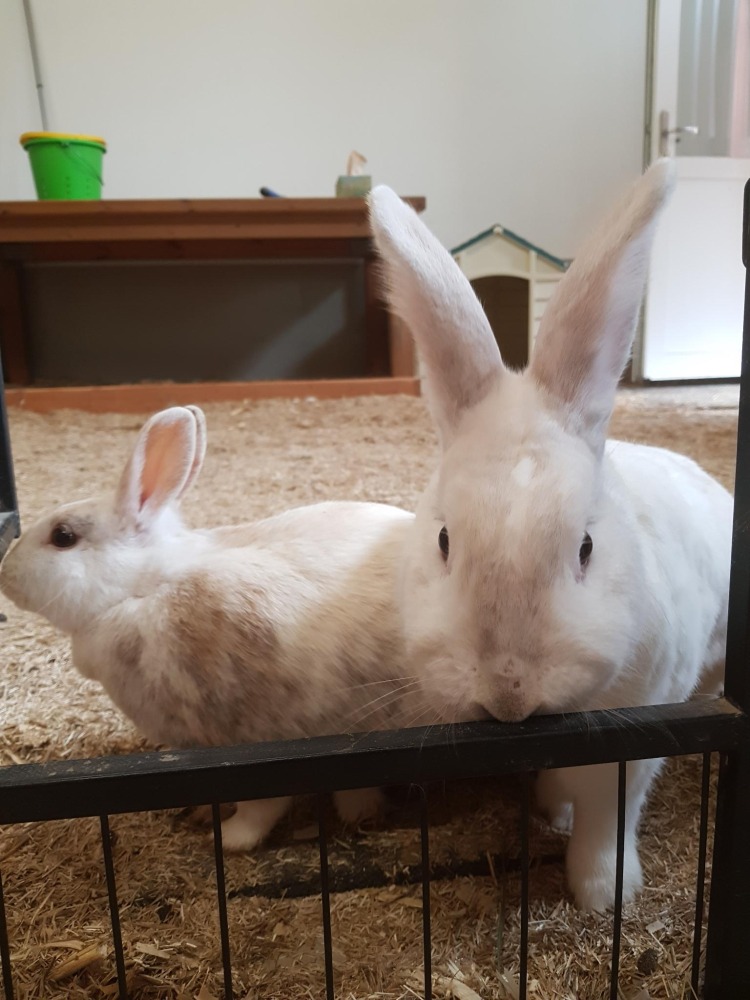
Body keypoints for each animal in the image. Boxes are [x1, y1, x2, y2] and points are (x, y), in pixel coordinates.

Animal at [0, 405, 430, 850]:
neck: (144, 586)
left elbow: (261, 808)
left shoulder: (249, 742)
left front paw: (226, 840)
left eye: (63, 536)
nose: (5, 573)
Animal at [367, 159, 733, 912]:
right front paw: (555, 817)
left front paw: (603, 895)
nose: (508, 693)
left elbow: (608, 815)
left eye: (586, 548)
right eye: (443, 541)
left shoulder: (632, 744)